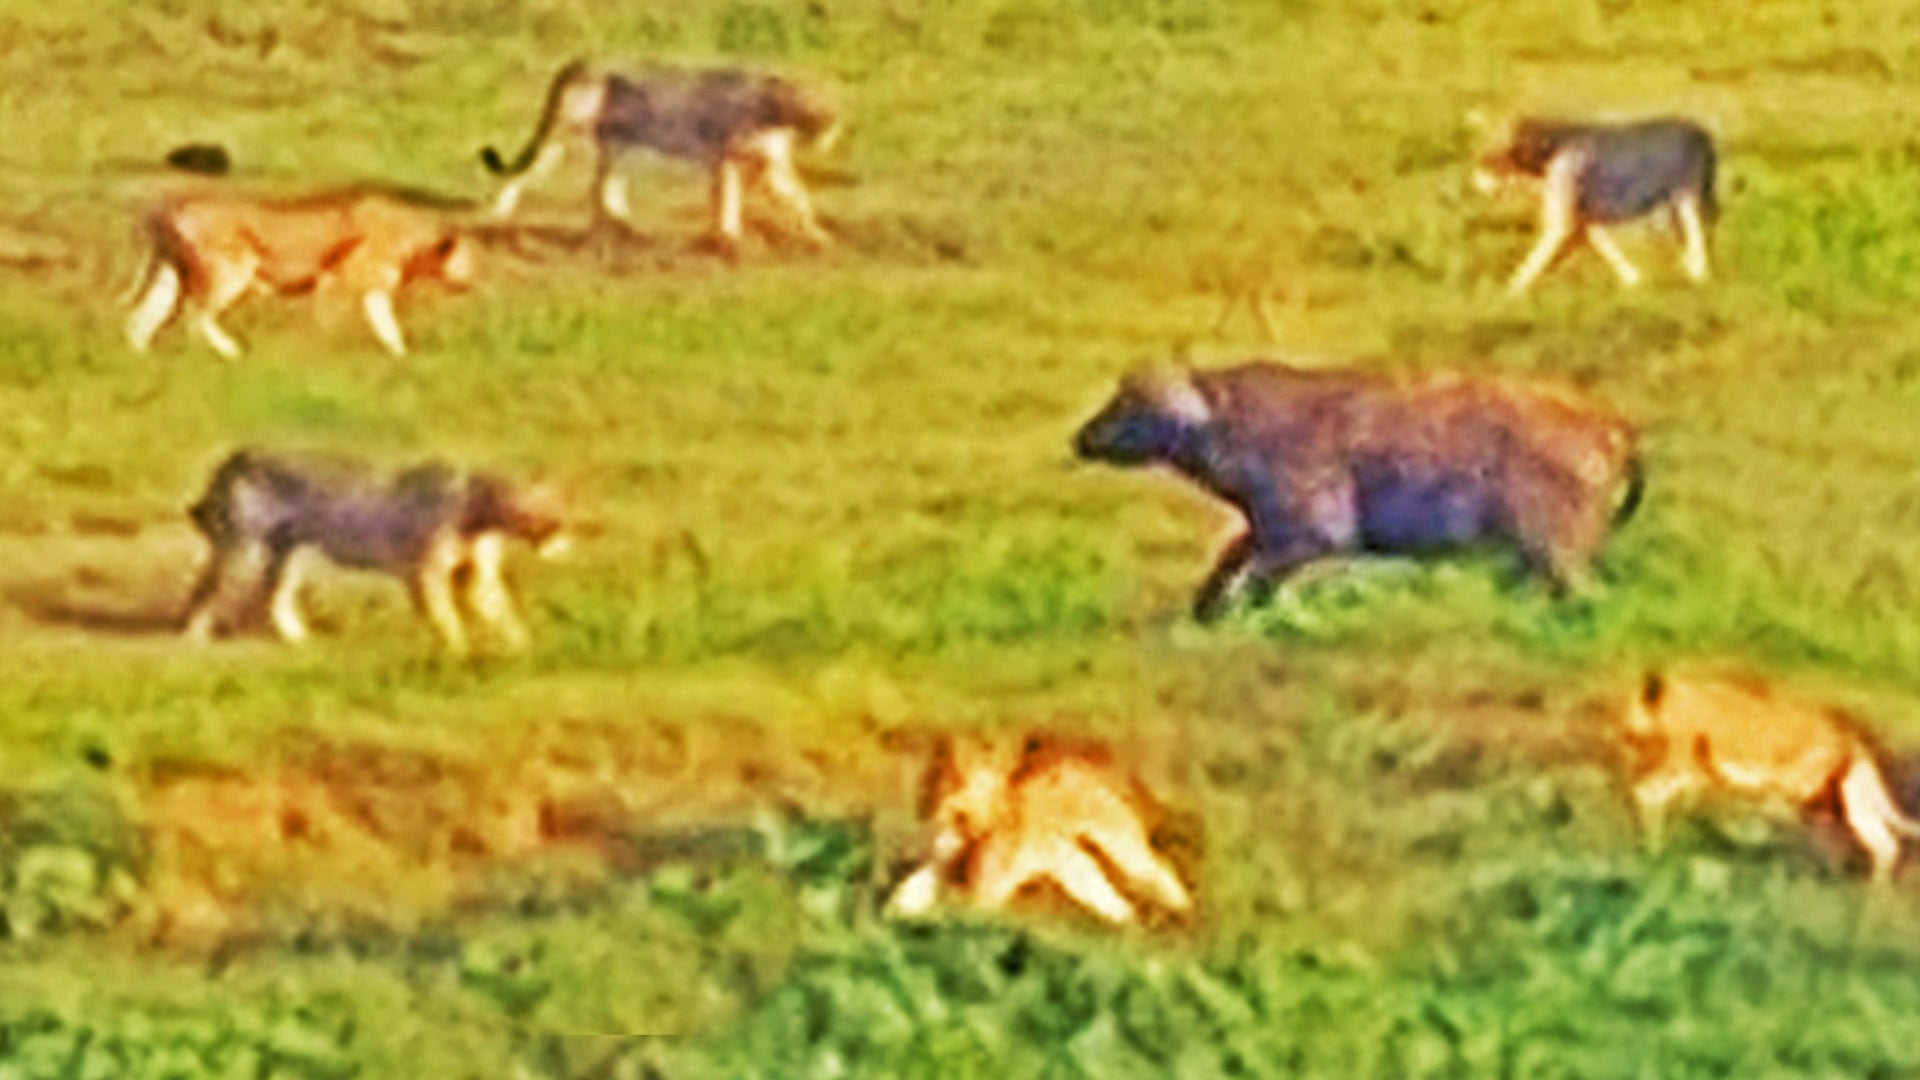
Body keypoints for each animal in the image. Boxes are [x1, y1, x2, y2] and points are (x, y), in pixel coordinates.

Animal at [123, 186, 475, 359]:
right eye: (463, 252)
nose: (469, 279)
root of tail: (171, 207)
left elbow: (386, 327)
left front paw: (401, 357)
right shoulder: (348, 282)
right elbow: (360, 322)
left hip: (170, 277)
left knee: (141, 322)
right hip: (231, 271)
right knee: (196, 317)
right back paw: (231, 353)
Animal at [479, 57, 842, 247]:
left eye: (829, 111)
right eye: (812, 107)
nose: (831, 125)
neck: (771, 113)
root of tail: (590, 61)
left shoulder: (770, 163)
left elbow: (797, 197)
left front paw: (817, 234)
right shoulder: (725, 157)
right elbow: (727, 199)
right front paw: (728, 238)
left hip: (620, 148)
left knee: (602, 189)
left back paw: (618, 227)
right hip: (569, 136)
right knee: (534, 174)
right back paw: (499, 212)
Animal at [883, 734, 1193, 925]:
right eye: (936, 779)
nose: (930, 806)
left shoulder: (985, 888)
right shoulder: (941, 865)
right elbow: (913, 888)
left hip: (1119, 844)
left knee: (1156, 870)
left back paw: (1180, 910)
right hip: (1072, 863)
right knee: (1107, 895)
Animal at [1073, 360, 1644, 622]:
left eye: (1132, 402)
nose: (1082, 437)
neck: (1231, 425)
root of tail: (1608, 426)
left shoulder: (1315, 534)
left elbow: (1255, 583)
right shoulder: (1265, 531)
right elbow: (1227, 565)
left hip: (1555, 550)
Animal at [1623, 672, 1920, 884]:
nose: (1625, 734)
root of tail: (1851, 738)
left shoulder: (1686, 762)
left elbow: (1648, 791)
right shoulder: (1698, 770)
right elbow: (1654, 794)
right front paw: (1652, 846)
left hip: (1807, 790)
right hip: (1849, 802)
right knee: (1885, 846)